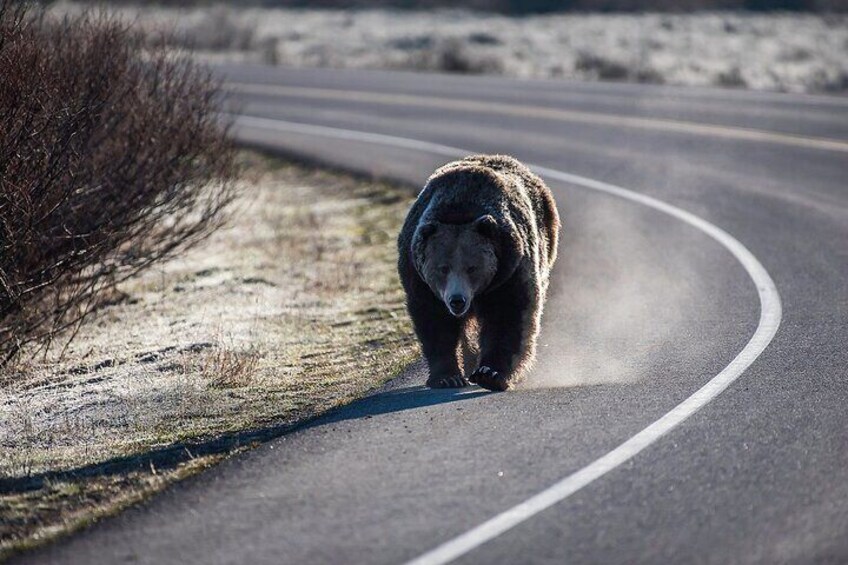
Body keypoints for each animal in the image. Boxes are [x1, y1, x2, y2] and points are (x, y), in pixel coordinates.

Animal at [400, 154, 560, 392]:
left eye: (472, 267)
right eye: (443, 268)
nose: (457, 300)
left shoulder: (509, 271)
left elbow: (508, 316)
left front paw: (490, 373)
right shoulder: (419, 278)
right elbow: (434, 322)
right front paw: (447, 377)